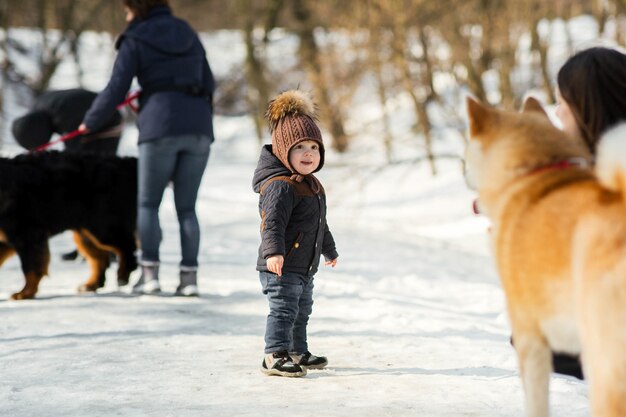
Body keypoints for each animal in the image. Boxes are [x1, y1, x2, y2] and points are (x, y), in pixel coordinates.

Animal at [0, 151, 136, 298]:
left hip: (101, 227)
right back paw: (91, 284)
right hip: (84, 232)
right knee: (101, 259)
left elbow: (31, 268)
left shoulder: (27, 233)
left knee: (126, 245)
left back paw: (123, 273)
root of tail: (124, 163)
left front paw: (25, 292)